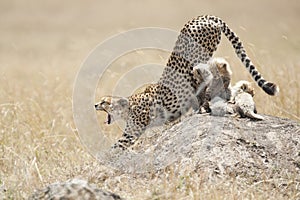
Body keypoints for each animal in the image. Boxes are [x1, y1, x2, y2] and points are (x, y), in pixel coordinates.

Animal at [94, 14, 278, 149]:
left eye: (105, 102)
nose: (95, 105)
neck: (130, 105)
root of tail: (202, 16)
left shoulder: (131, 133)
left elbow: (114, 149)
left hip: (199, 57)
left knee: (207, 76)